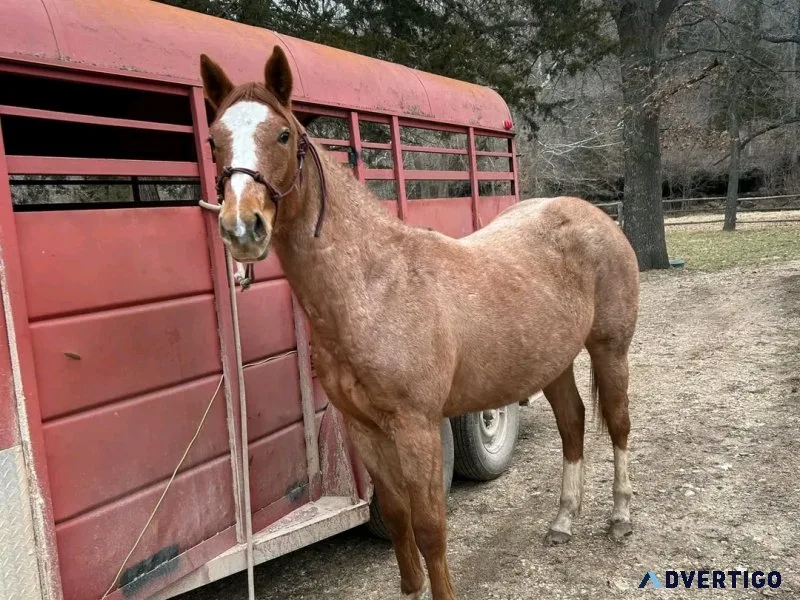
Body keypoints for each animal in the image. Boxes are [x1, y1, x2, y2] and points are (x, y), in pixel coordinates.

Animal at [199, 46, 639, 600]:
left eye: (281, 135)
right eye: (213, 140)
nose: (242, 228)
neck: (374, 286)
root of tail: (592, 214)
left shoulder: (418, 428)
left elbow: (430, 526)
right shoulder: (365, 429)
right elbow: (397, 516)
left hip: (610, 349)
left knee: (618, 424)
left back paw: (621, 516)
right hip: (552, 360)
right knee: (573, 424)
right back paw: (562, 521)